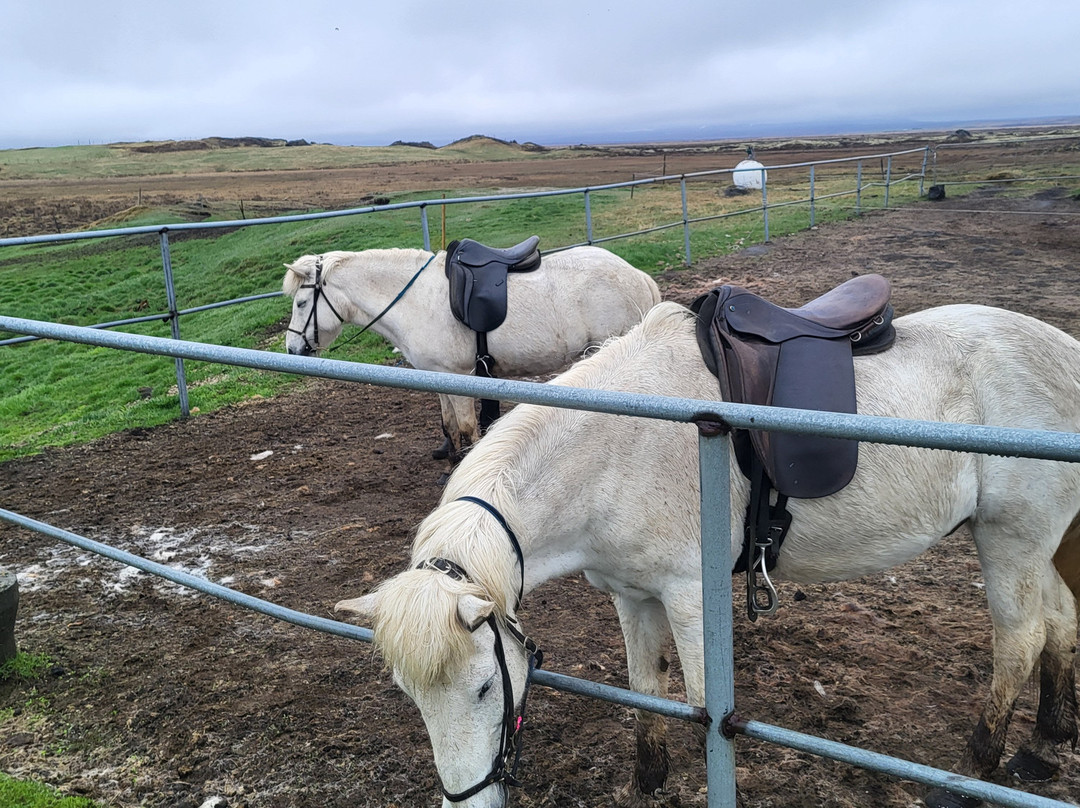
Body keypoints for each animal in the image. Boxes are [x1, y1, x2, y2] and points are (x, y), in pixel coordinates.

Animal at [282, 246, 660, 463]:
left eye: (300, 303)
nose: (292, 349)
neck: (414, 299)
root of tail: (638, 276)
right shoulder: (438, 376)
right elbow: (449, 425)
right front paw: (449, 462)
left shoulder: (460, 376)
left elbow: (466, 428)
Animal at [335, 300, 1080, 808]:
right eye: (408, 695)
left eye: (486, 687)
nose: (471, 802)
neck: (614, 446)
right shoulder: (631, 594)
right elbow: (647, 691)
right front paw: (646, 781)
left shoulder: (691, 597)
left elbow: (700, 704)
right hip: (1041, 542)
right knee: (1060, 623)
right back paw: (1047, 739)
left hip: (1010, 538)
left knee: (1018, 641)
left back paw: (974, 771)